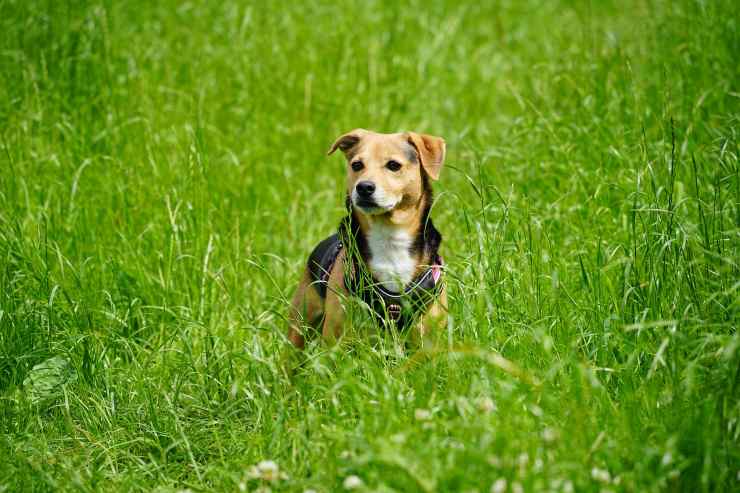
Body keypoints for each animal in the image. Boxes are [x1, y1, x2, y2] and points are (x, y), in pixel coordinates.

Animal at [286, 129, 448, 348]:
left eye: (394, 165)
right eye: (357, 165)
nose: (363, 187)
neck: (388, 237)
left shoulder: (427, 341)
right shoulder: (336, 339)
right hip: (300, 324)